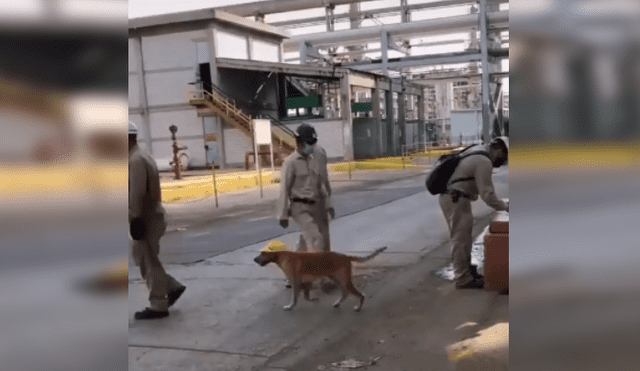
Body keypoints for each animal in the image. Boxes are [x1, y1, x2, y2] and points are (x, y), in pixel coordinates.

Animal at [254, 248, 384, 312]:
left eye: (261, 254)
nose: (254, 259)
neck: (279, 255)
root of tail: (346, 256)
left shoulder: (295, 282)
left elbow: (294, 297)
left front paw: (290, 306)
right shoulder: (305, 283)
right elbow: (306, 295)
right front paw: (312, 299)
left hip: (344, 281)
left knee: (360, 295)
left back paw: (358, 307)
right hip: (337, 279)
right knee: (345, 294)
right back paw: (337, 303)